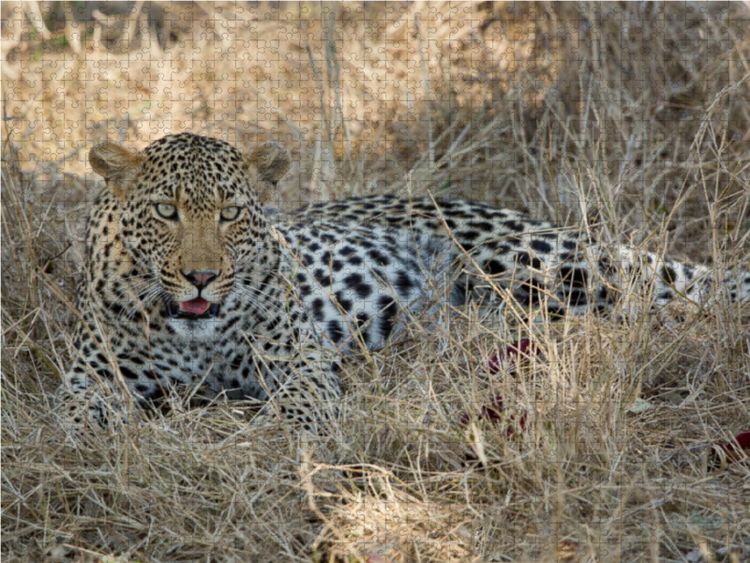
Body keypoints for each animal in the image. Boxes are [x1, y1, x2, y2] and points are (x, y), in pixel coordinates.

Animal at [56, 132, 749, 434]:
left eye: (229, 214)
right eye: (165, 212)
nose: (201, 276)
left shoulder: (298, 358)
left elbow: (300, 403)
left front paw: (279, 434)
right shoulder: (89, 376)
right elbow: (76, 414)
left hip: (531, 264)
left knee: (669, 291)